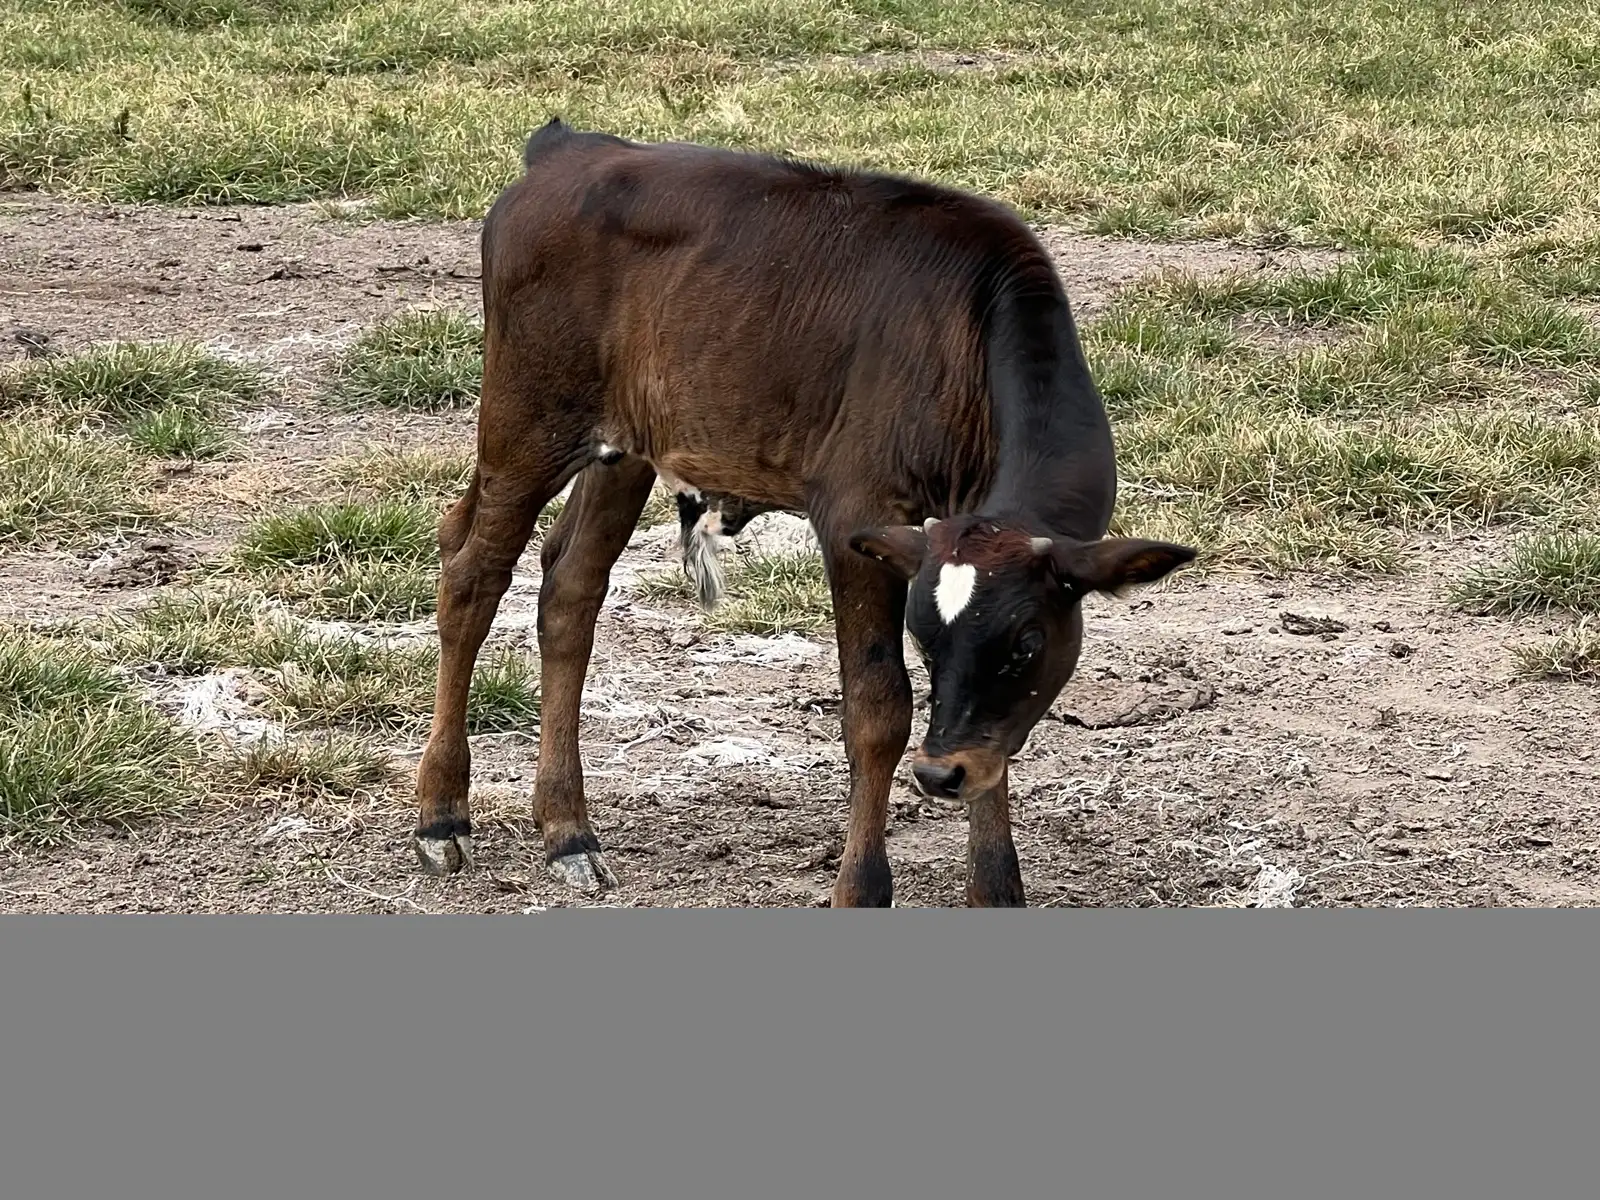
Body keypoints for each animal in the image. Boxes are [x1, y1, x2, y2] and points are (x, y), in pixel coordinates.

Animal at [413, 118, 1196, 907]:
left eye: (1028, 641)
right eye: (926, 637)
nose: (940, 774)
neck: (968, 337)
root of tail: (570, 148)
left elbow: (997, 735)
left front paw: (997, 889)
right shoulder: (856, 514)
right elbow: (879, 709)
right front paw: (861, 886)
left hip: (623, 449)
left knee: (567, 587)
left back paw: (567, 829)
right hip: (527, 420)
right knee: (472, 575)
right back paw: (441, 815)